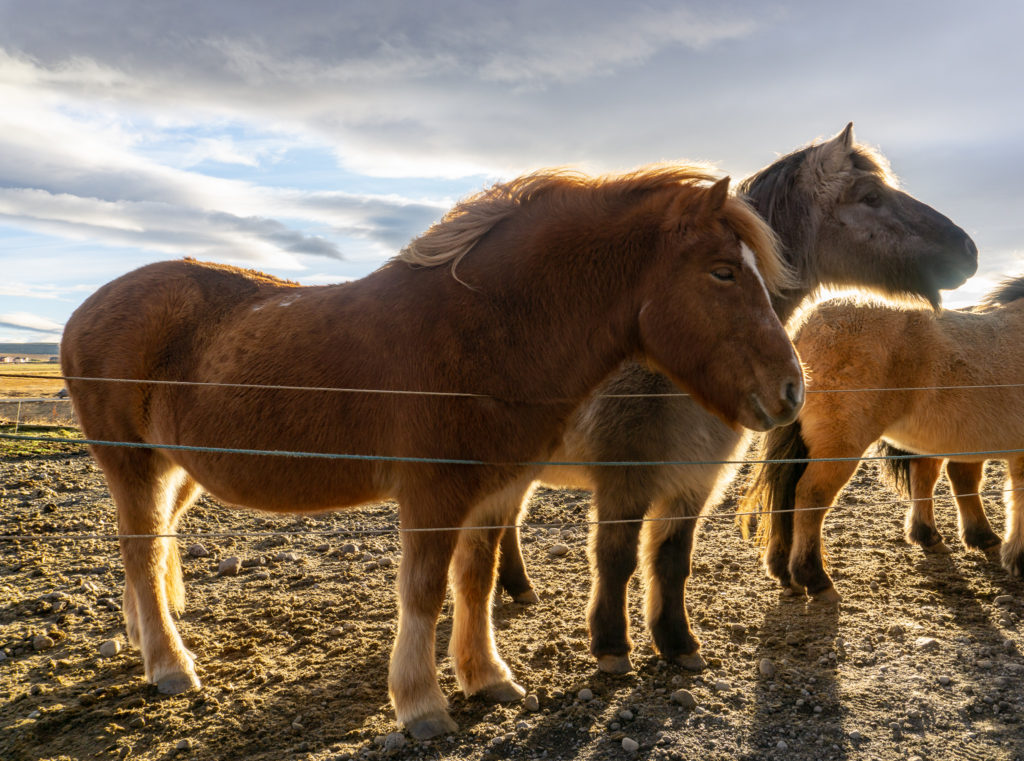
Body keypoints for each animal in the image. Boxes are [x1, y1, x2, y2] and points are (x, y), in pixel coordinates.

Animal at [61, 164, 806, 737]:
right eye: (721, 273)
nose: (792, 389)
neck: (485, 326)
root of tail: (85, 310)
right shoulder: (434, 492)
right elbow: (422, 590)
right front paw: (421, 705)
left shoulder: (497, 489)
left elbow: (474, 581)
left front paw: (488, 677)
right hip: (131, 461)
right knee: (140, 550)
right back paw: (169, 665)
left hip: (176, 469)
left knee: (152, 548)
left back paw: (146, 640)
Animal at [493, 123, 974, 671]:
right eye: (870, 196)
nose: (968, 249)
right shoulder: (626, 479)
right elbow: (616, 559)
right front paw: (612, 646)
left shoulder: (695, 478)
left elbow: (672, 559)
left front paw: (677, 642)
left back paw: (519, 587)